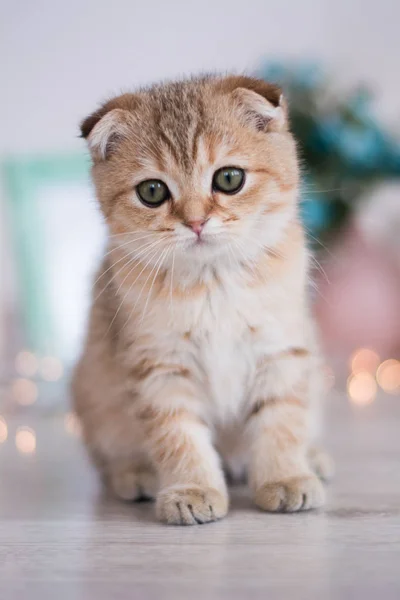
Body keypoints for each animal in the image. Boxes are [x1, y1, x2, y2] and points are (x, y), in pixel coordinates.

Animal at [72, 75, 334, 524]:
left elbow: (281, 420)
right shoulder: (160, 365)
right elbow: (179, 435)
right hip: (93, 391)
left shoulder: (281, 349)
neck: (212, 281)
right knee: (108, 457)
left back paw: (312, 458)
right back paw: (135, 473)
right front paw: (191, 489)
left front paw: (285, 477)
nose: (195, 222)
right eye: (152, 191)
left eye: (229, 179)